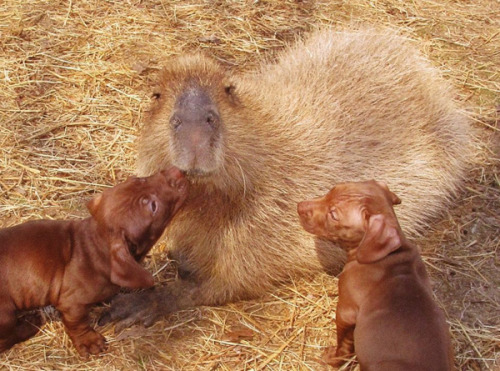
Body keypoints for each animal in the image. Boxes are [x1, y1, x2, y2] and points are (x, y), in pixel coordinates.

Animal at [0, 168, 188, 358]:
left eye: (139, 179)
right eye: (153, 207)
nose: (177, 171)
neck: (95, 244)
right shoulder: (71, 303)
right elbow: (78, 323)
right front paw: (89, 342)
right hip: (5, 316)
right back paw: (31, 323)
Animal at [296, 182, 458, 371]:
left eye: (334, 215)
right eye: (332, 190)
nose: (299, 206)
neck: (389, 254)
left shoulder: (345, 312)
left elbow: (343, 343)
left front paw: (332, 359)